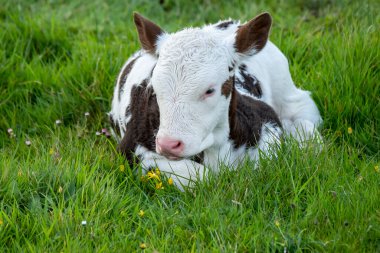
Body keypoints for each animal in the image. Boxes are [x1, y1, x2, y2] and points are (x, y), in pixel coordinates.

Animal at [108, 12, 322, 189]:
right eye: (154, 88)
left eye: (209, 90)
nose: (168, 144)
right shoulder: (128, 150)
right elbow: (203, 177)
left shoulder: (267, 121)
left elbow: (264, 163)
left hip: (288, 89)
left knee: (305, 119)